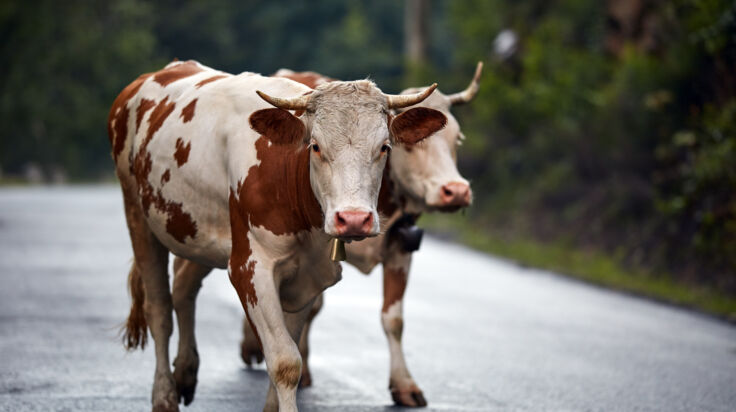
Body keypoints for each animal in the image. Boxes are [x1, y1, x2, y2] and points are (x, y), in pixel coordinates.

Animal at [107, 59, 446, 412]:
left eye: (384, 147)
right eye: (315, 147)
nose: (354, 218)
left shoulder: (308, 274)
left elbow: (291, 346)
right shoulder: (250, 267)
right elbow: (285, 361)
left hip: (196, 230)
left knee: (184, 287)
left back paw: (186, 372)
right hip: (139, 218)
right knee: (159, 310)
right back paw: (164, 396)